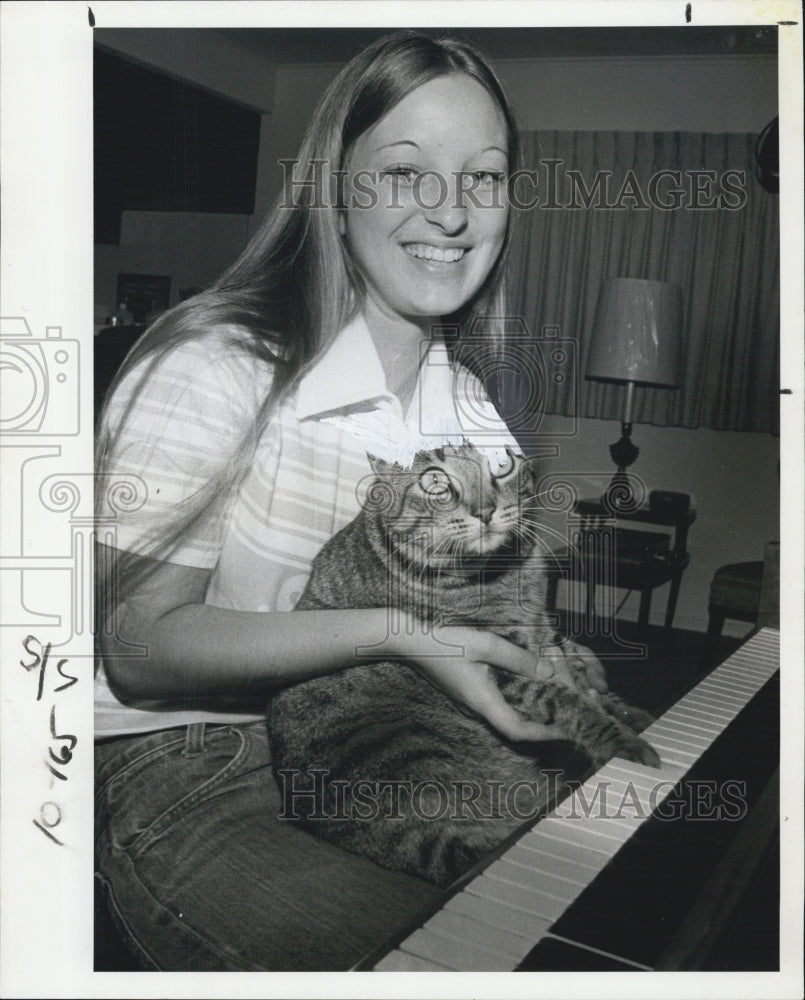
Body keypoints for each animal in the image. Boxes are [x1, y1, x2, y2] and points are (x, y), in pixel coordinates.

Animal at [266, 444, 656, 884]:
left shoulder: (541, 627)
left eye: (502, 464)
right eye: (435, 482)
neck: (505, 572)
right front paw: (621, 741)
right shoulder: (501, 660)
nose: (485, 510)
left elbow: (578, 674)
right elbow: (565, 701)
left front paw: (626, 711)